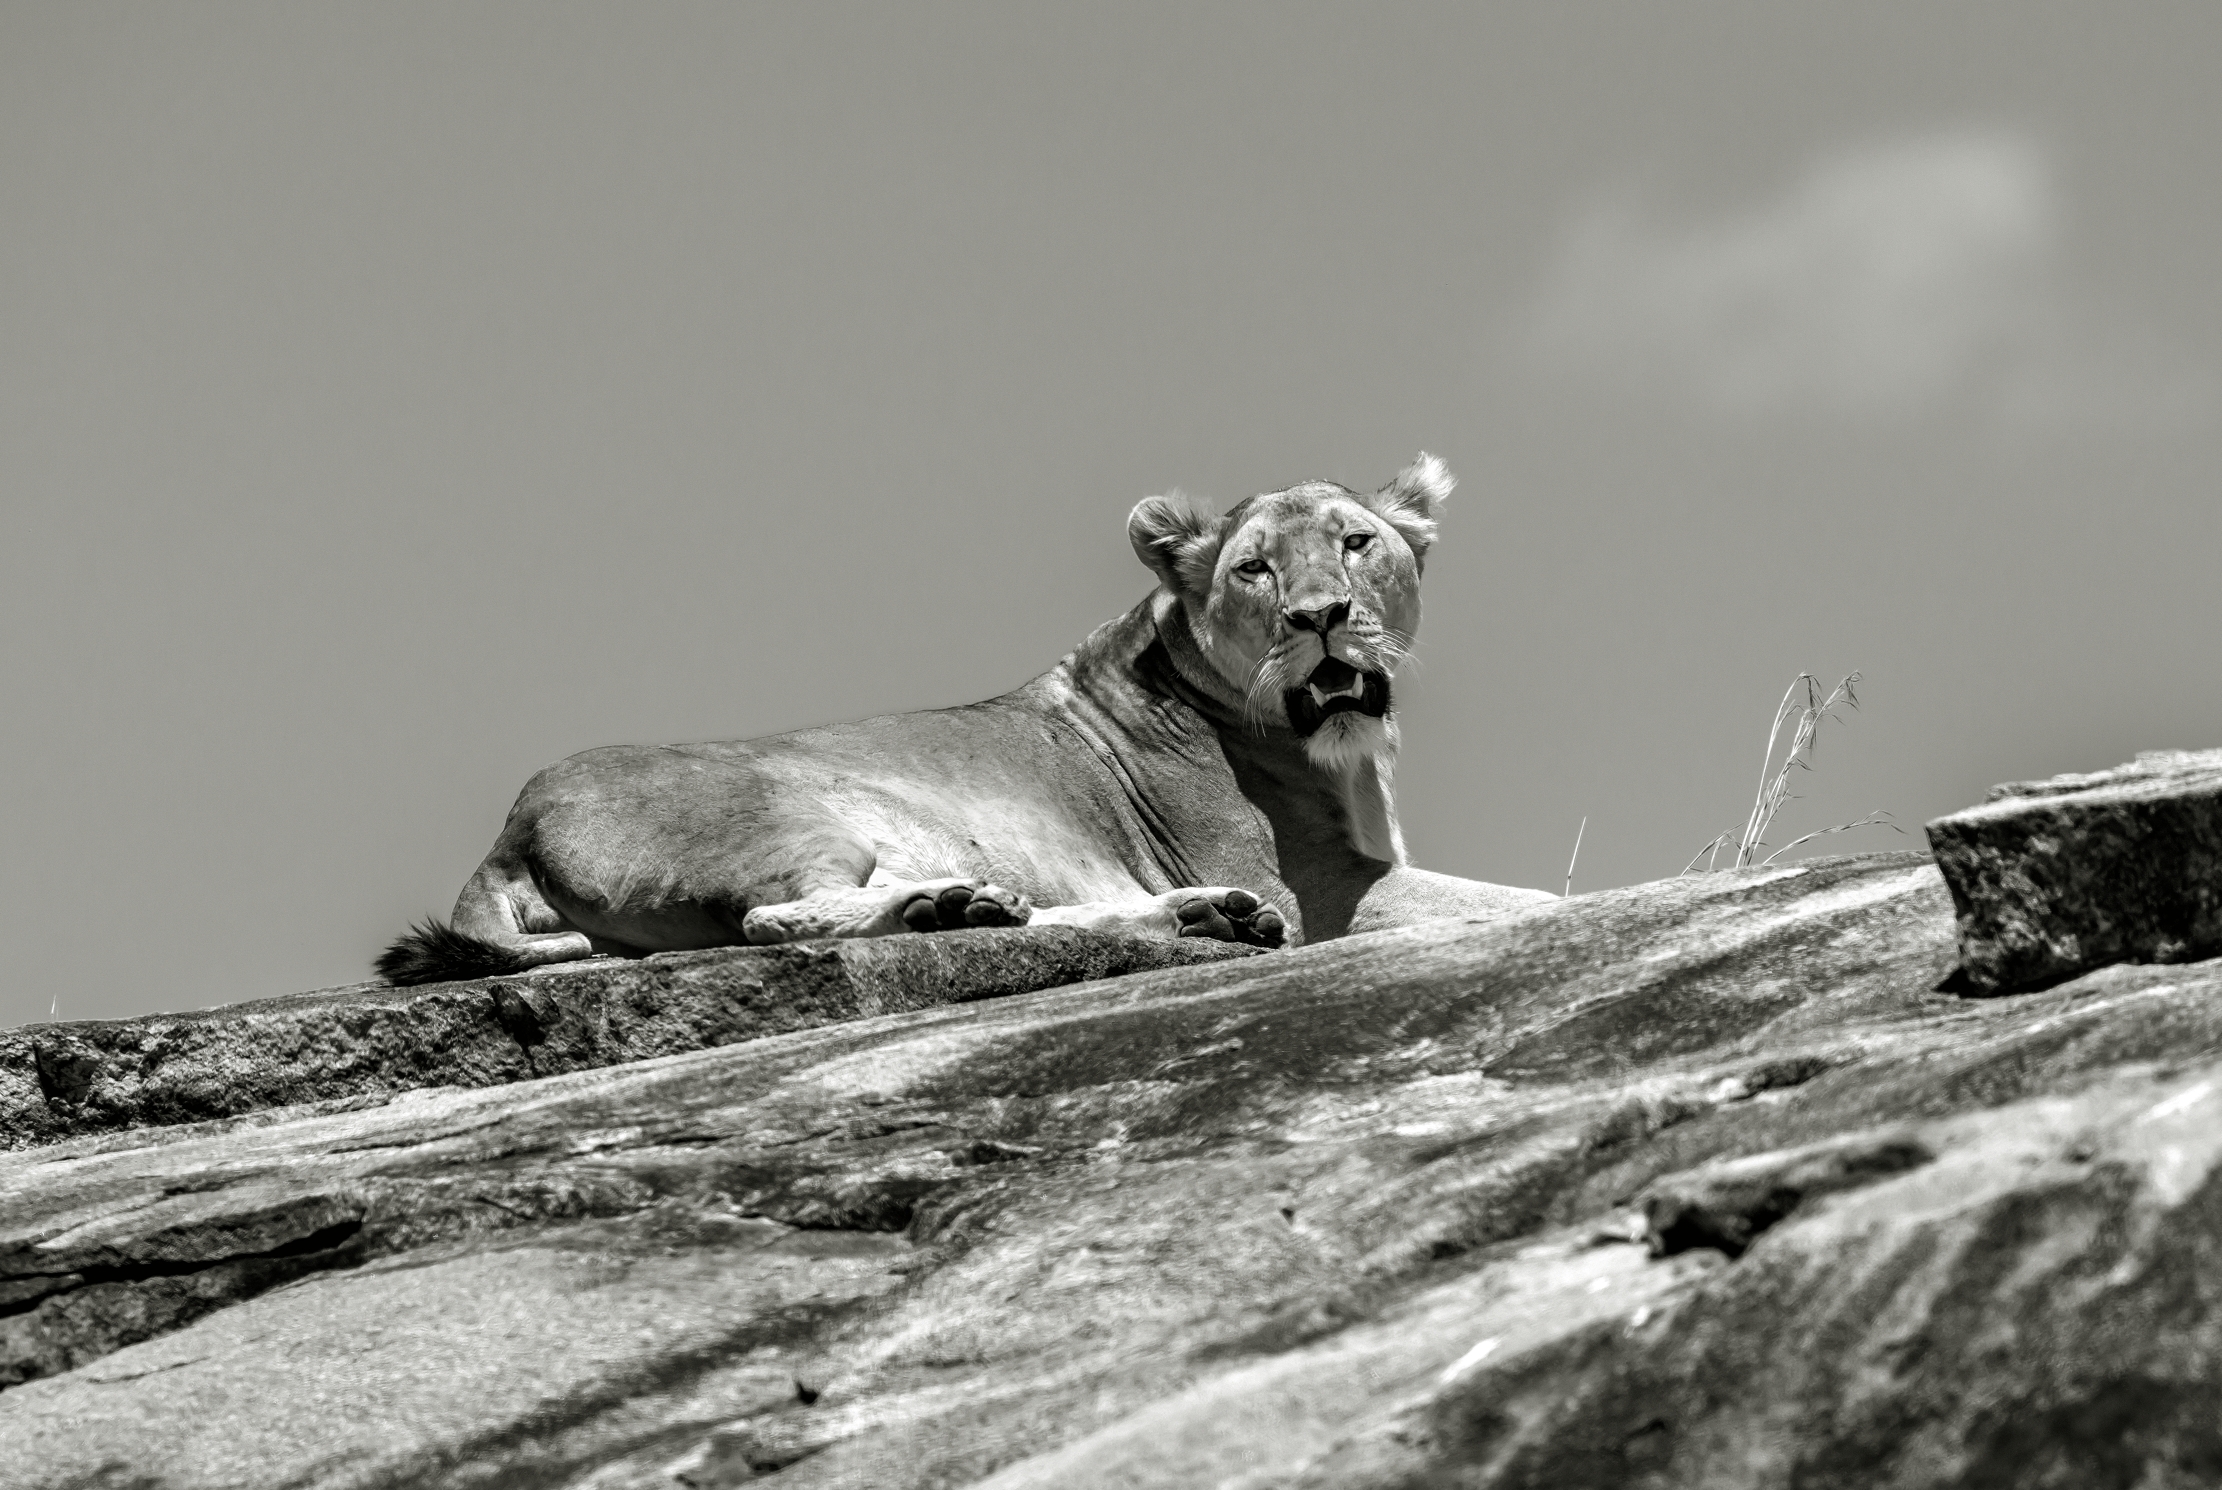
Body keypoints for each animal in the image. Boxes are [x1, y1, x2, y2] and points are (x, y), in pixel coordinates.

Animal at [376, 454, 1552, 985]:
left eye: (1357, 543)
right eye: (1254, 569)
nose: (1321, 618)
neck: (1341, 750)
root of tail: (508, 828)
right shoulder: (1314, 884)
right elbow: (1527, 896)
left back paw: (1142, 916)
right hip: (795, 813)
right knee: (777, 920)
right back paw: (958, 908)